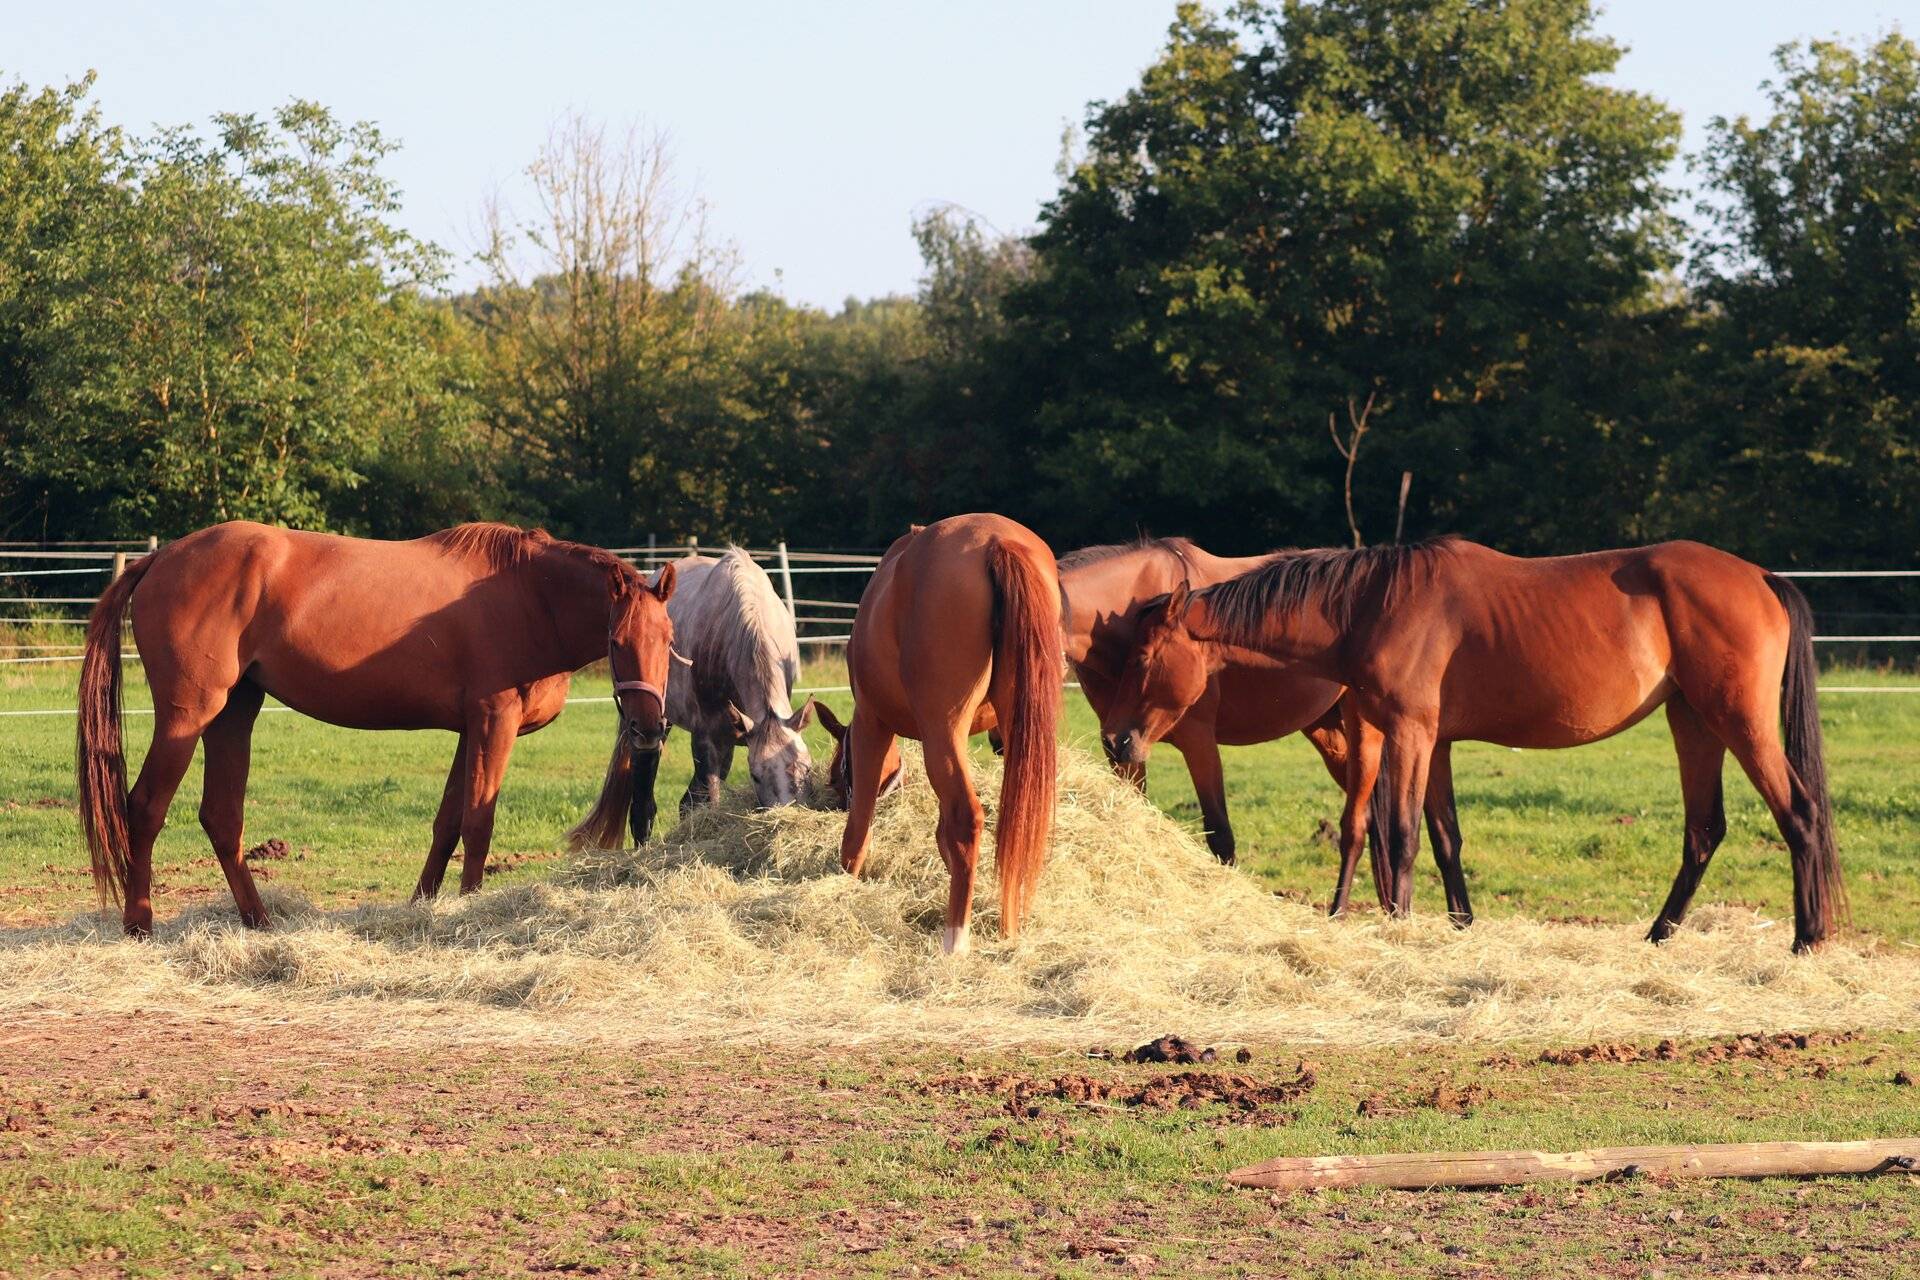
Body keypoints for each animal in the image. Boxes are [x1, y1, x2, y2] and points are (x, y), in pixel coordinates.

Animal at [74, 521, 675, 940]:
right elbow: (478, 823)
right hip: (188, 714)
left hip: (234, 713)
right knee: (145, 807)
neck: (528, 596)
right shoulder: (493, 722)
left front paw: (425, 907)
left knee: (222, 817)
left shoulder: (469, 730)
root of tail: (160, 557)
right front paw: (473, 909)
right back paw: (140, 926)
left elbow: (447, 824)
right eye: (617, 641)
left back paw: (259, 922)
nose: (648, 727)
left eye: (668, 638)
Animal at [564, 545, 814, 852]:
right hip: (652, 728)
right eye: (755, 775)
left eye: (806, 769)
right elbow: (710, 799)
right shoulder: (708, 737)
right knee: (645, 804)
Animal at [817, 514, 1067, 955]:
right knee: (1014, 826)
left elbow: (859, 828)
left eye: (835, 777)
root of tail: (997, 541)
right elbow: (941, 832)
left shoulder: (871, 724)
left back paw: (956, 939)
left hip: (938, 731)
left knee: (967, 818)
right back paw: (1008, 930)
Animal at [1059, 537, 1459, 924]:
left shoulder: (1197, 741)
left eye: (1143, 660)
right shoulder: (1125, 749)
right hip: (1328, 732)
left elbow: (1220, 835)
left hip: (1363, 728)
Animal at [1105, 537, 1850, 951]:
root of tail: (1760, 578)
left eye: (1142, 659)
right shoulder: (1432, 743)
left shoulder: (1409, 732)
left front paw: (1401, 926)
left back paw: (1806, 939)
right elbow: (1445, 838)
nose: (1118, 740)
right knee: (1704, 829)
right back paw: (1660, 933)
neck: (1373, 604)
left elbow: (1402, 834)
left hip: (1738, 721)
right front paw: (1459, 924)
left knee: (1799, 814)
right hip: (1692, 722)